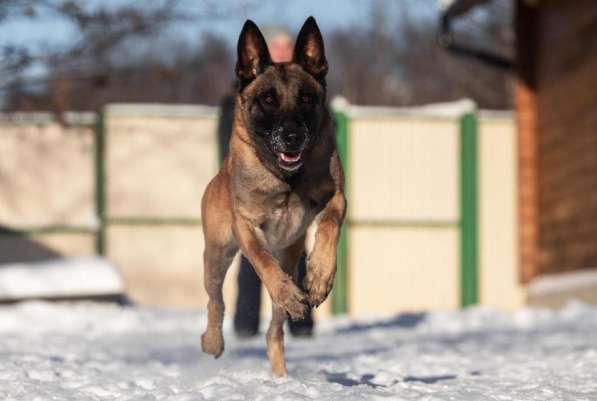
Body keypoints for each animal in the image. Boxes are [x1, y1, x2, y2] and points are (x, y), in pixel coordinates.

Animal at [200, 17, 344, 376]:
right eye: (268, 99)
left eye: (306, 98)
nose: (292, 137)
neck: (286, 178)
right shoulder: (245, 226)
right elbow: (262, 261)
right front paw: (290, 293)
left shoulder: (337, 198)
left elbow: (330, 226)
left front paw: (319, 278)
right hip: (217, 254)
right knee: (216, 300)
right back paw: (213, 341)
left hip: (290, 258)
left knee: (274, 331)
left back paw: (281, 375)